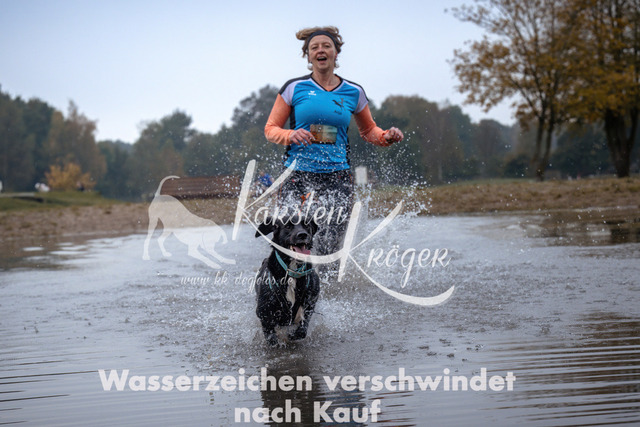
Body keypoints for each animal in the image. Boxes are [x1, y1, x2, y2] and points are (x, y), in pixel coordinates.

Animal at [254, 215, 320, 346]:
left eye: (306, 225)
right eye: (288, 226)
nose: (303, 234)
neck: (292, 273)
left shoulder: (311, 301)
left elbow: (302, 329)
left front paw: (293, 335)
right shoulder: (263, 310)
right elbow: (270, 336)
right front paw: (275, 341)